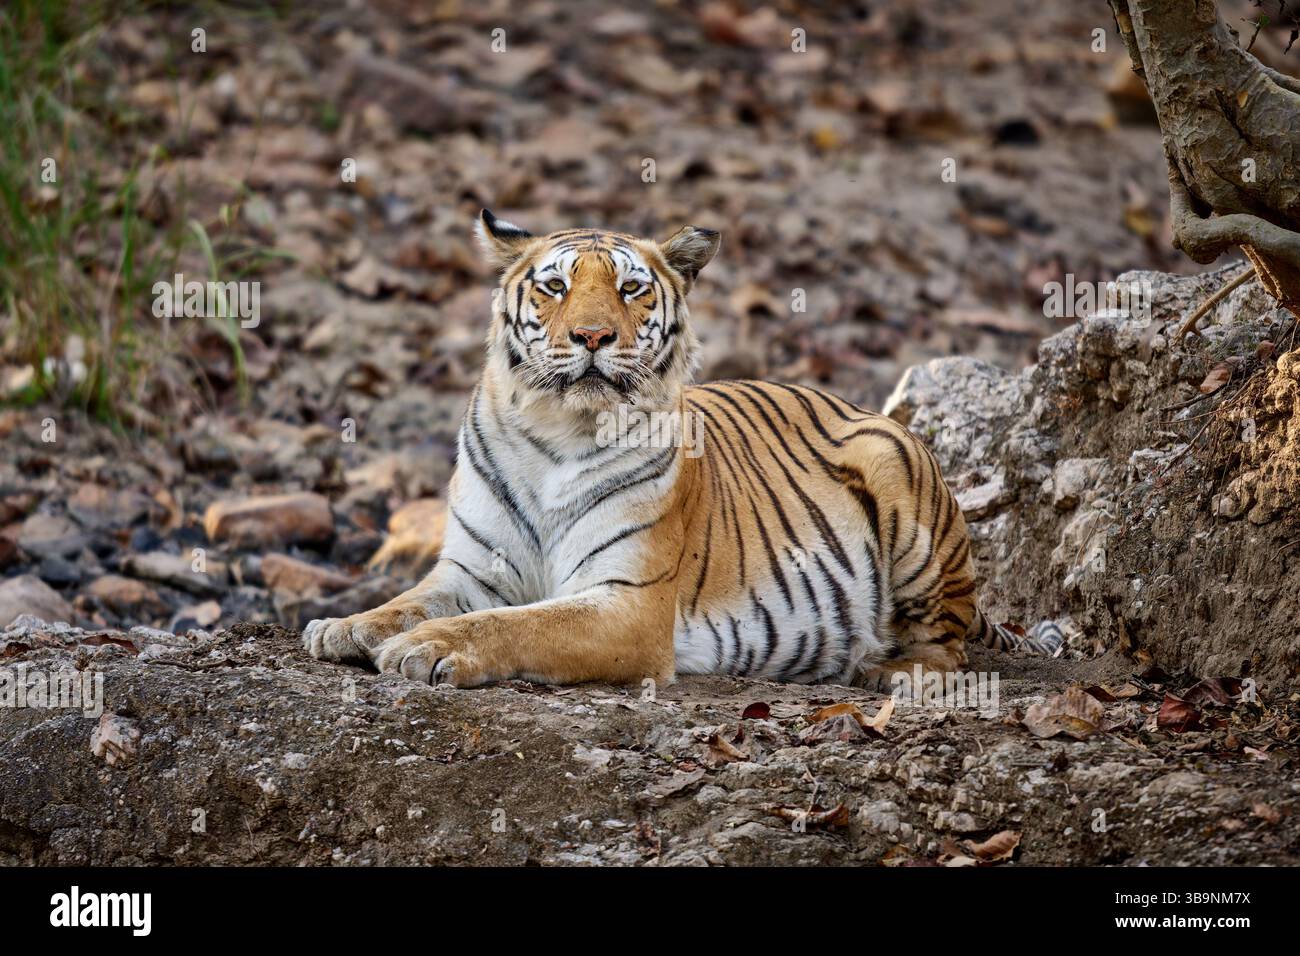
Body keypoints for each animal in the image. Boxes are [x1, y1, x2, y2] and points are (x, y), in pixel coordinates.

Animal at [302, 210, 1061, 689]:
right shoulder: (470, 572)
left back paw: (885, 668)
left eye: (631, 288)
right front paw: (343, 627)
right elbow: (409, 599)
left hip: (900, 477)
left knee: (948, 649)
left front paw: (425, 647)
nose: (593, 336)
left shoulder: (626, 605)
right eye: (555, 286)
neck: (556, 432)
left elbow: (515, 626)